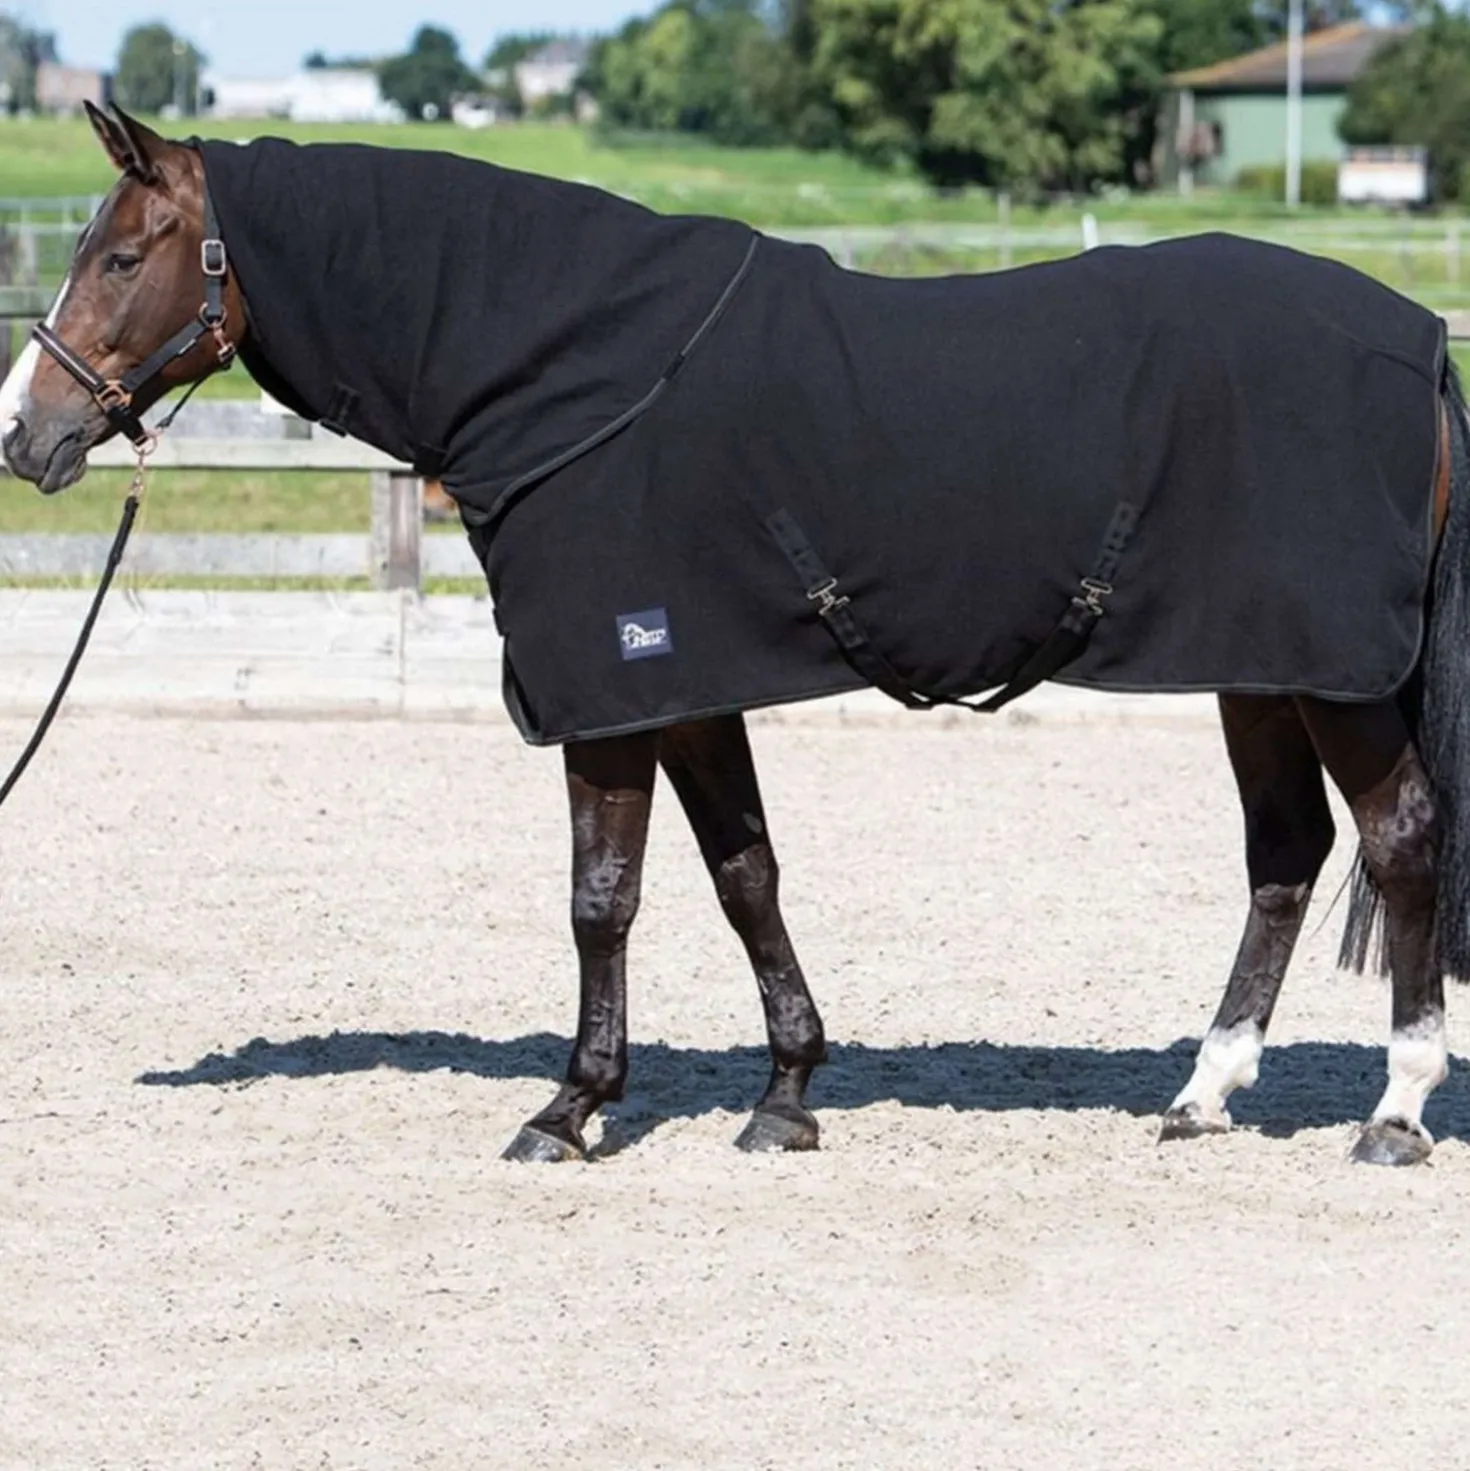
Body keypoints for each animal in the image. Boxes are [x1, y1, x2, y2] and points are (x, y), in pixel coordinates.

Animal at [3, 103, 1467, 1170]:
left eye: (121, 257)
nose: (28, 433)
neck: (571, 366)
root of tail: (1412, 337)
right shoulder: (690, 687)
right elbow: (743, 873)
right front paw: (785, 1090)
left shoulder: (613, 692)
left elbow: (604, 896)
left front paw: (570, 1107)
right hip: (1262, 666)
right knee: (1284, 853)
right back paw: (1203, 1090)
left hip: (1330, 676)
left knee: (1399, 840)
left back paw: (1393, 1108)